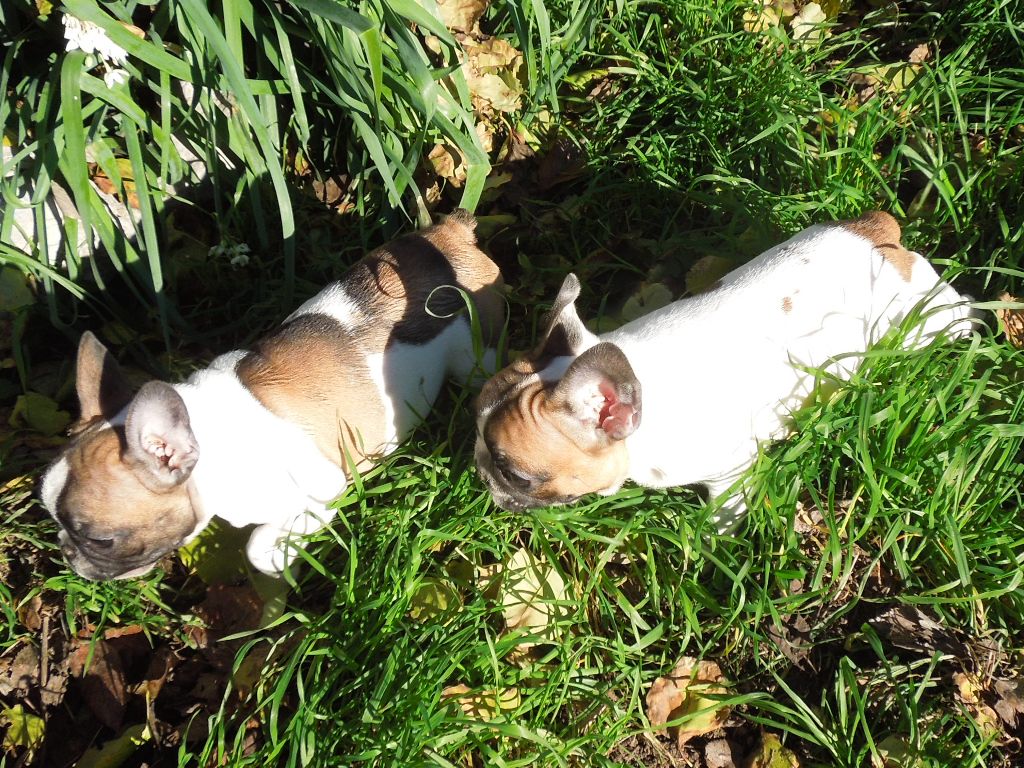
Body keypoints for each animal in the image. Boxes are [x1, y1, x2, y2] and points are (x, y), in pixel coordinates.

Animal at [40, 207, 503, 581]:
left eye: (100, 541)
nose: (66, 552)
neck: (210, 444)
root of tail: (450, 233)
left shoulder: (324, 488)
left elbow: (258, 549)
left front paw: (286, 556)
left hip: (474, 356)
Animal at [471, 214, 974, 532]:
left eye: (515, 475)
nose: (481, 471)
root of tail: (872, 232)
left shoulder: (732, 474)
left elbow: (722, 516)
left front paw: (711, 543)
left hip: (917, 319)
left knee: (952, 310)